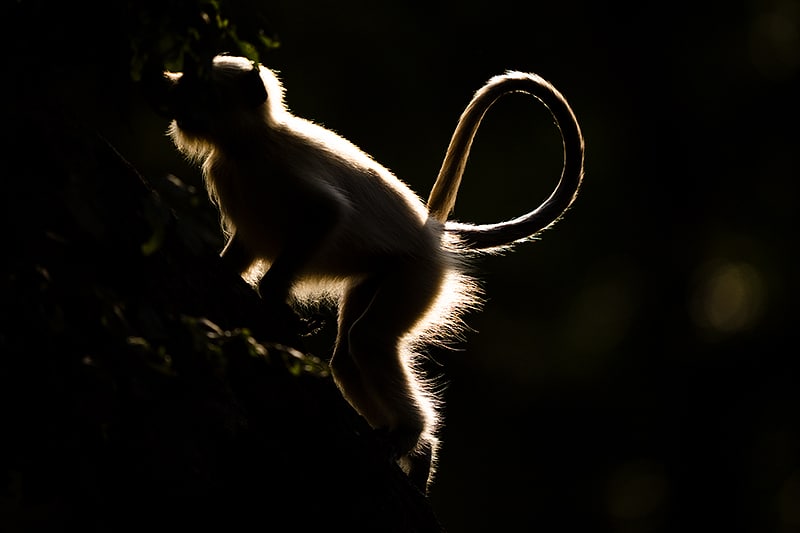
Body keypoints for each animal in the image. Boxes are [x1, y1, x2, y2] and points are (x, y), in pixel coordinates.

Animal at [164, 56, 588, 492]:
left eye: (199, 87)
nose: (171, 91)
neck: (248, 145)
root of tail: (432, 235)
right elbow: (243, 251)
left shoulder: (284, 170)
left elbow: (327, 214)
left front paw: (275, 295)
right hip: (381, 277)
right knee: (348, 358)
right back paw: (419, 455)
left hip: (416, 276)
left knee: (367, 339)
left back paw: (411, 437)